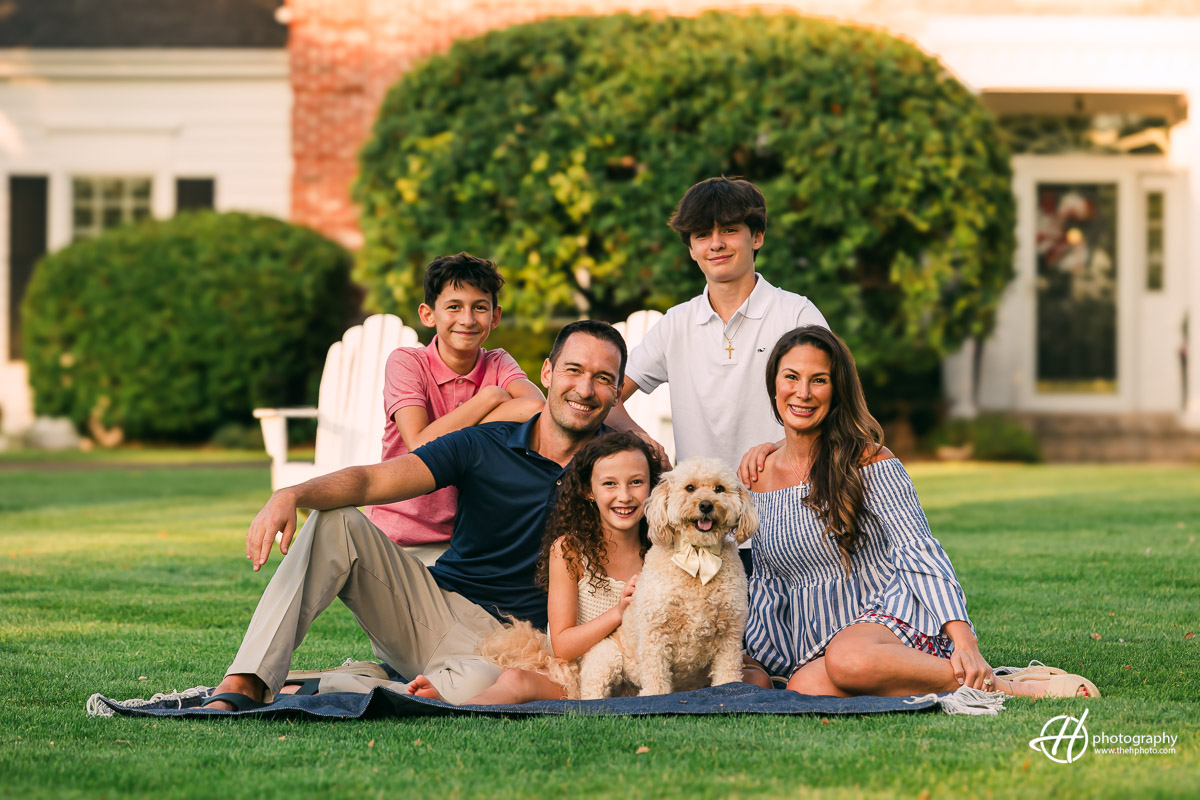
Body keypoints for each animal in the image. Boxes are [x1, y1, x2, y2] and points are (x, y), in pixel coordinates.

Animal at [576, 455, 753, 700]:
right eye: (690, 488)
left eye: (719, 489)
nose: (706, 504)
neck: (698, 555)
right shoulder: (655, 633)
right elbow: (656, 680)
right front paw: (655, 696)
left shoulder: (730, 634)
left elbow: (728, 677)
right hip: (604, 659)